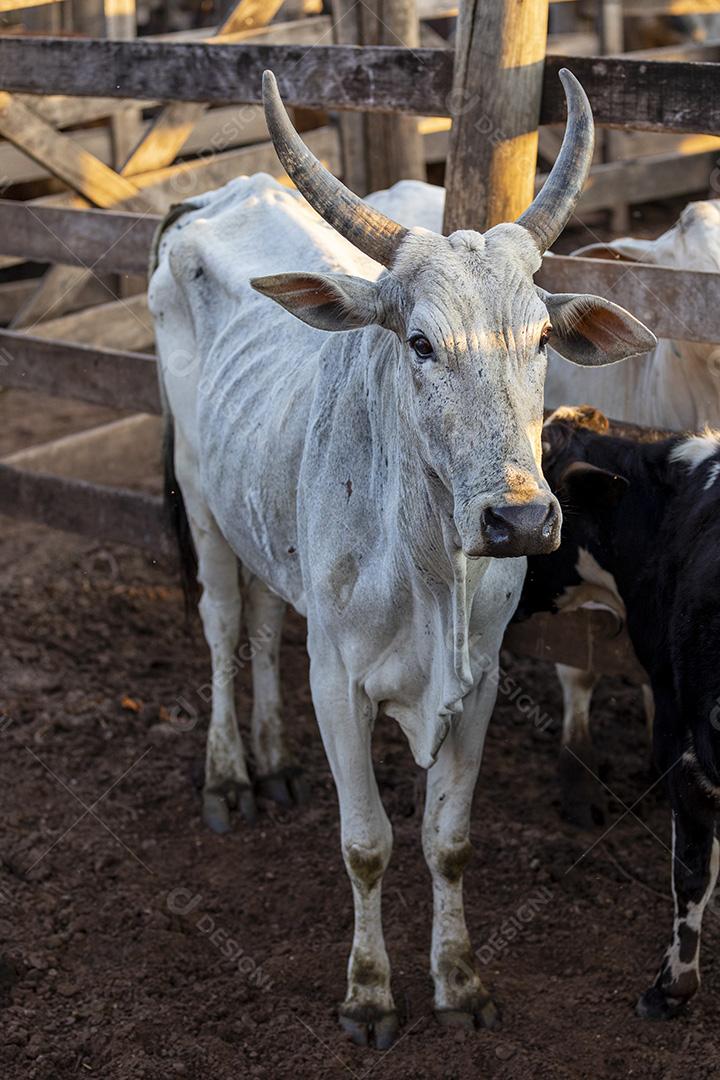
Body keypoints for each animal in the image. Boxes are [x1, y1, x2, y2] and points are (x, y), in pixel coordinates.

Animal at [149, 69, 655, 1046]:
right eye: (419, 342)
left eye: (542, 339)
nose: (520, 518)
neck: (429, 573)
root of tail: (219, 194)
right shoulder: (339, 681)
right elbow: (368, 844)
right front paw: (370, 995)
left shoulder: (481, 680)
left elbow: (446, 843)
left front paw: (459, 982)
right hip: (200, 494)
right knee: (224, 624)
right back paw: (230, 776)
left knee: (262, 624)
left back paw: (276, 764)